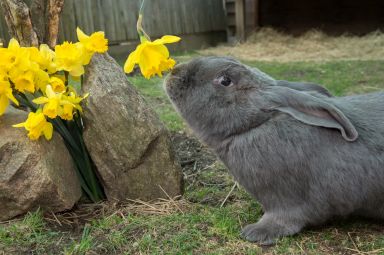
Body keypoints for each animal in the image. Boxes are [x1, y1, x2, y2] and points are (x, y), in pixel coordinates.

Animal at [164, 56, 384, 244]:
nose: (174, 72)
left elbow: (285, 219)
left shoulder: (287, 201)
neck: (256, 124)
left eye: (225, 80)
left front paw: (255, 233)